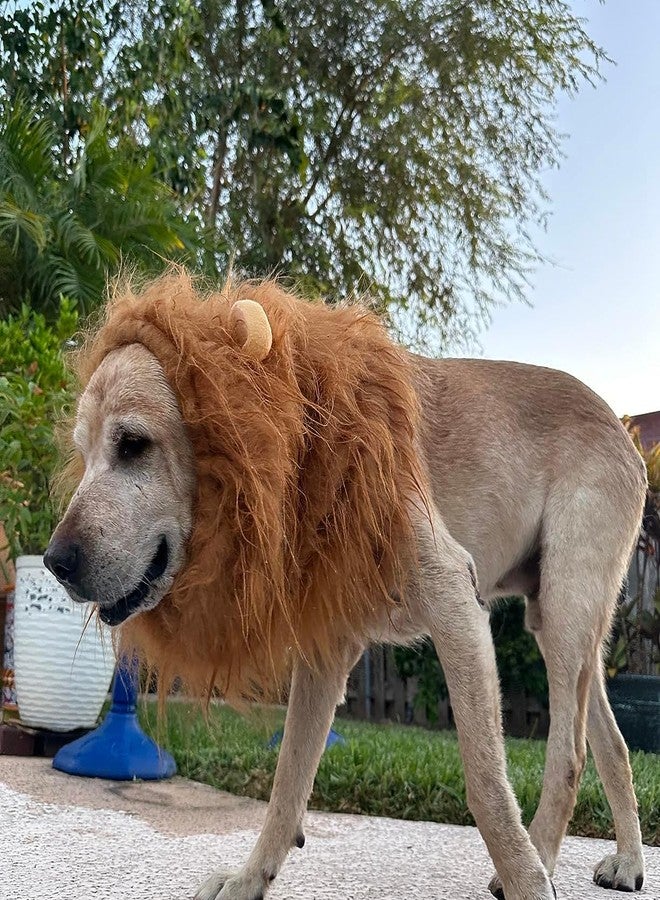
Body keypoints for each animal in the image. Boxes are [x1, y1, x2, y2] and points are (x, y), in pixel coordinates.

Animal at [45, 270, 647, 900]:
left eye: (133, 444)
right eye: (83, 453)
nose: (55, 561)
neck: (304, 445)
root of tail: (622, 429)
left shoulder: (455, 603)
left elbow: (484, 782)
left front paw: (527, 879)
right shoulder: (325, 650)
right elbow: (287, 782)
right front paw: (250, 878)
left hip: (563, 611)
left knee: (569, 755)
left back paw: (544, 860)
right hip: (562, 627)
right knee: (612, 743)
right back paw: (628, 860)